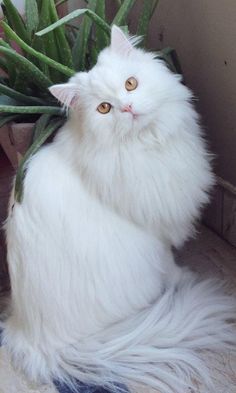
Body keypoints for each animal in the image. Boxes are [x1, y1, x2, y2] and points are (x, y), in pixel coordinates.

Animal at [2, 26, 236, 390]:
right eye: (104, 108)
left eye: (130, 84)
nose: (127, 108)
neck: (149, 144)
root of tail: (42, 342)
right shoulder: (157, 233)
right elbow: (171, 264)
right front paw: (184, 277)